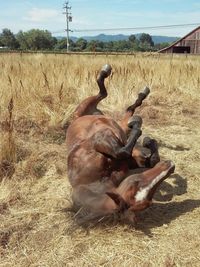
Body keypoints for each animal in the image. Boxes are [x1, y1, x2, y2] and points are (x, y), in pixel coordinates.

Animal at [66, 65, 175, 224]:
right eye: (135, 183)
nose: (170, 167)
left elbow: (144, 155)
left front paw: (147, 140)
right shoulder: (104, 141)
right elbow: (125, 152)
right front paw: (142, 134)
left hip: (94, 110)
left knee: (118, 102)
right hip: (111, 121)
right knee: (113, 101)